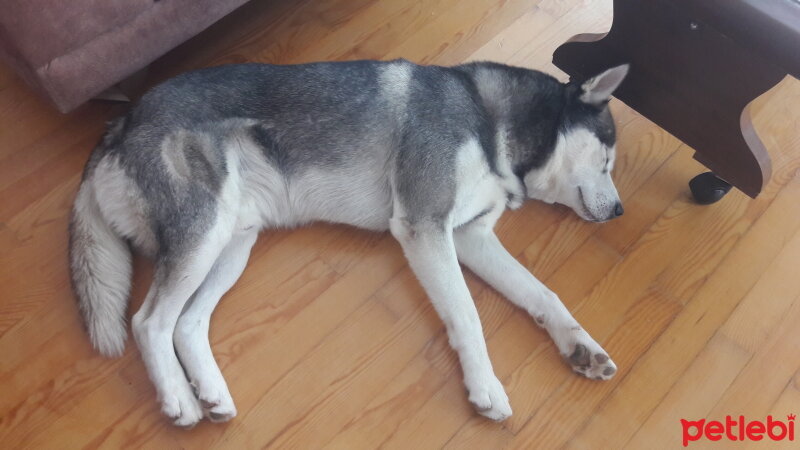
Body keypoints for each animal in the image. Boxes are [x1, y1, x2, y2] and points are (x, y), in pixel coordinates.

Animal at [69, 59, 628, 426]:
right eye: (607, 159)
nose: (621, 211)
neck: (489, 118)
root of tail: (120, 121)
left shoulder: (468, 236)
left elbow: (543, 293)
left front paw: (580, 345)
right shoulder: (425, 227)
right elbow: (468, 316)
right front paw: (485, 387)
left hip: (231, 244)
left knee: (186, 323)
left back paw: (211, 393)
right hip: (201, 236)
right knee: (149, 322)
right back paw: (178, 401)